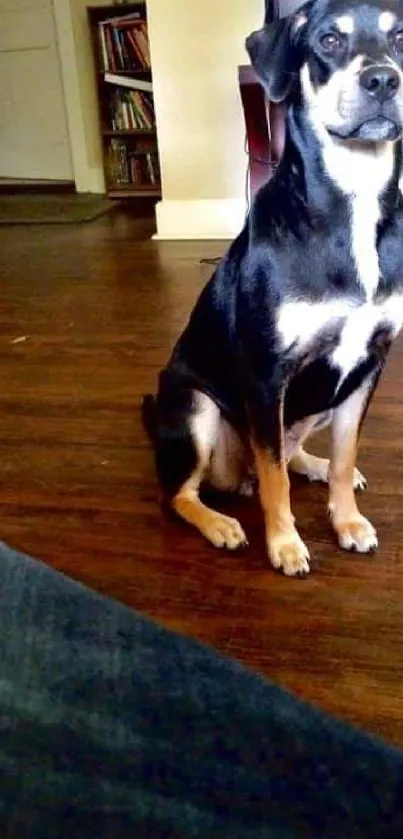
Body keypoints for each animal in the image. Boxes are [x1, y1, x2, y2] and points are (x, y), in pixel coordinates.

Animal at [143, 0, 403, 576]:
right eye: (328, 40)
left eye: (400, 36)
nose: (383, 80)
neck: (355, 196)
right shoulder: (267, 374)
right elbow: (274, 479)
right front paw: (285, 545)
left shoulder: (367, 363)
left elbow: (346, 451)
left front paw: (347, 521)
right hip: (196, 407)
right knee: (181, 493)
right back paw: (220, 523)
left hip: (321, 398)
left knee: (287, 453)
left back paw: (315, 464)